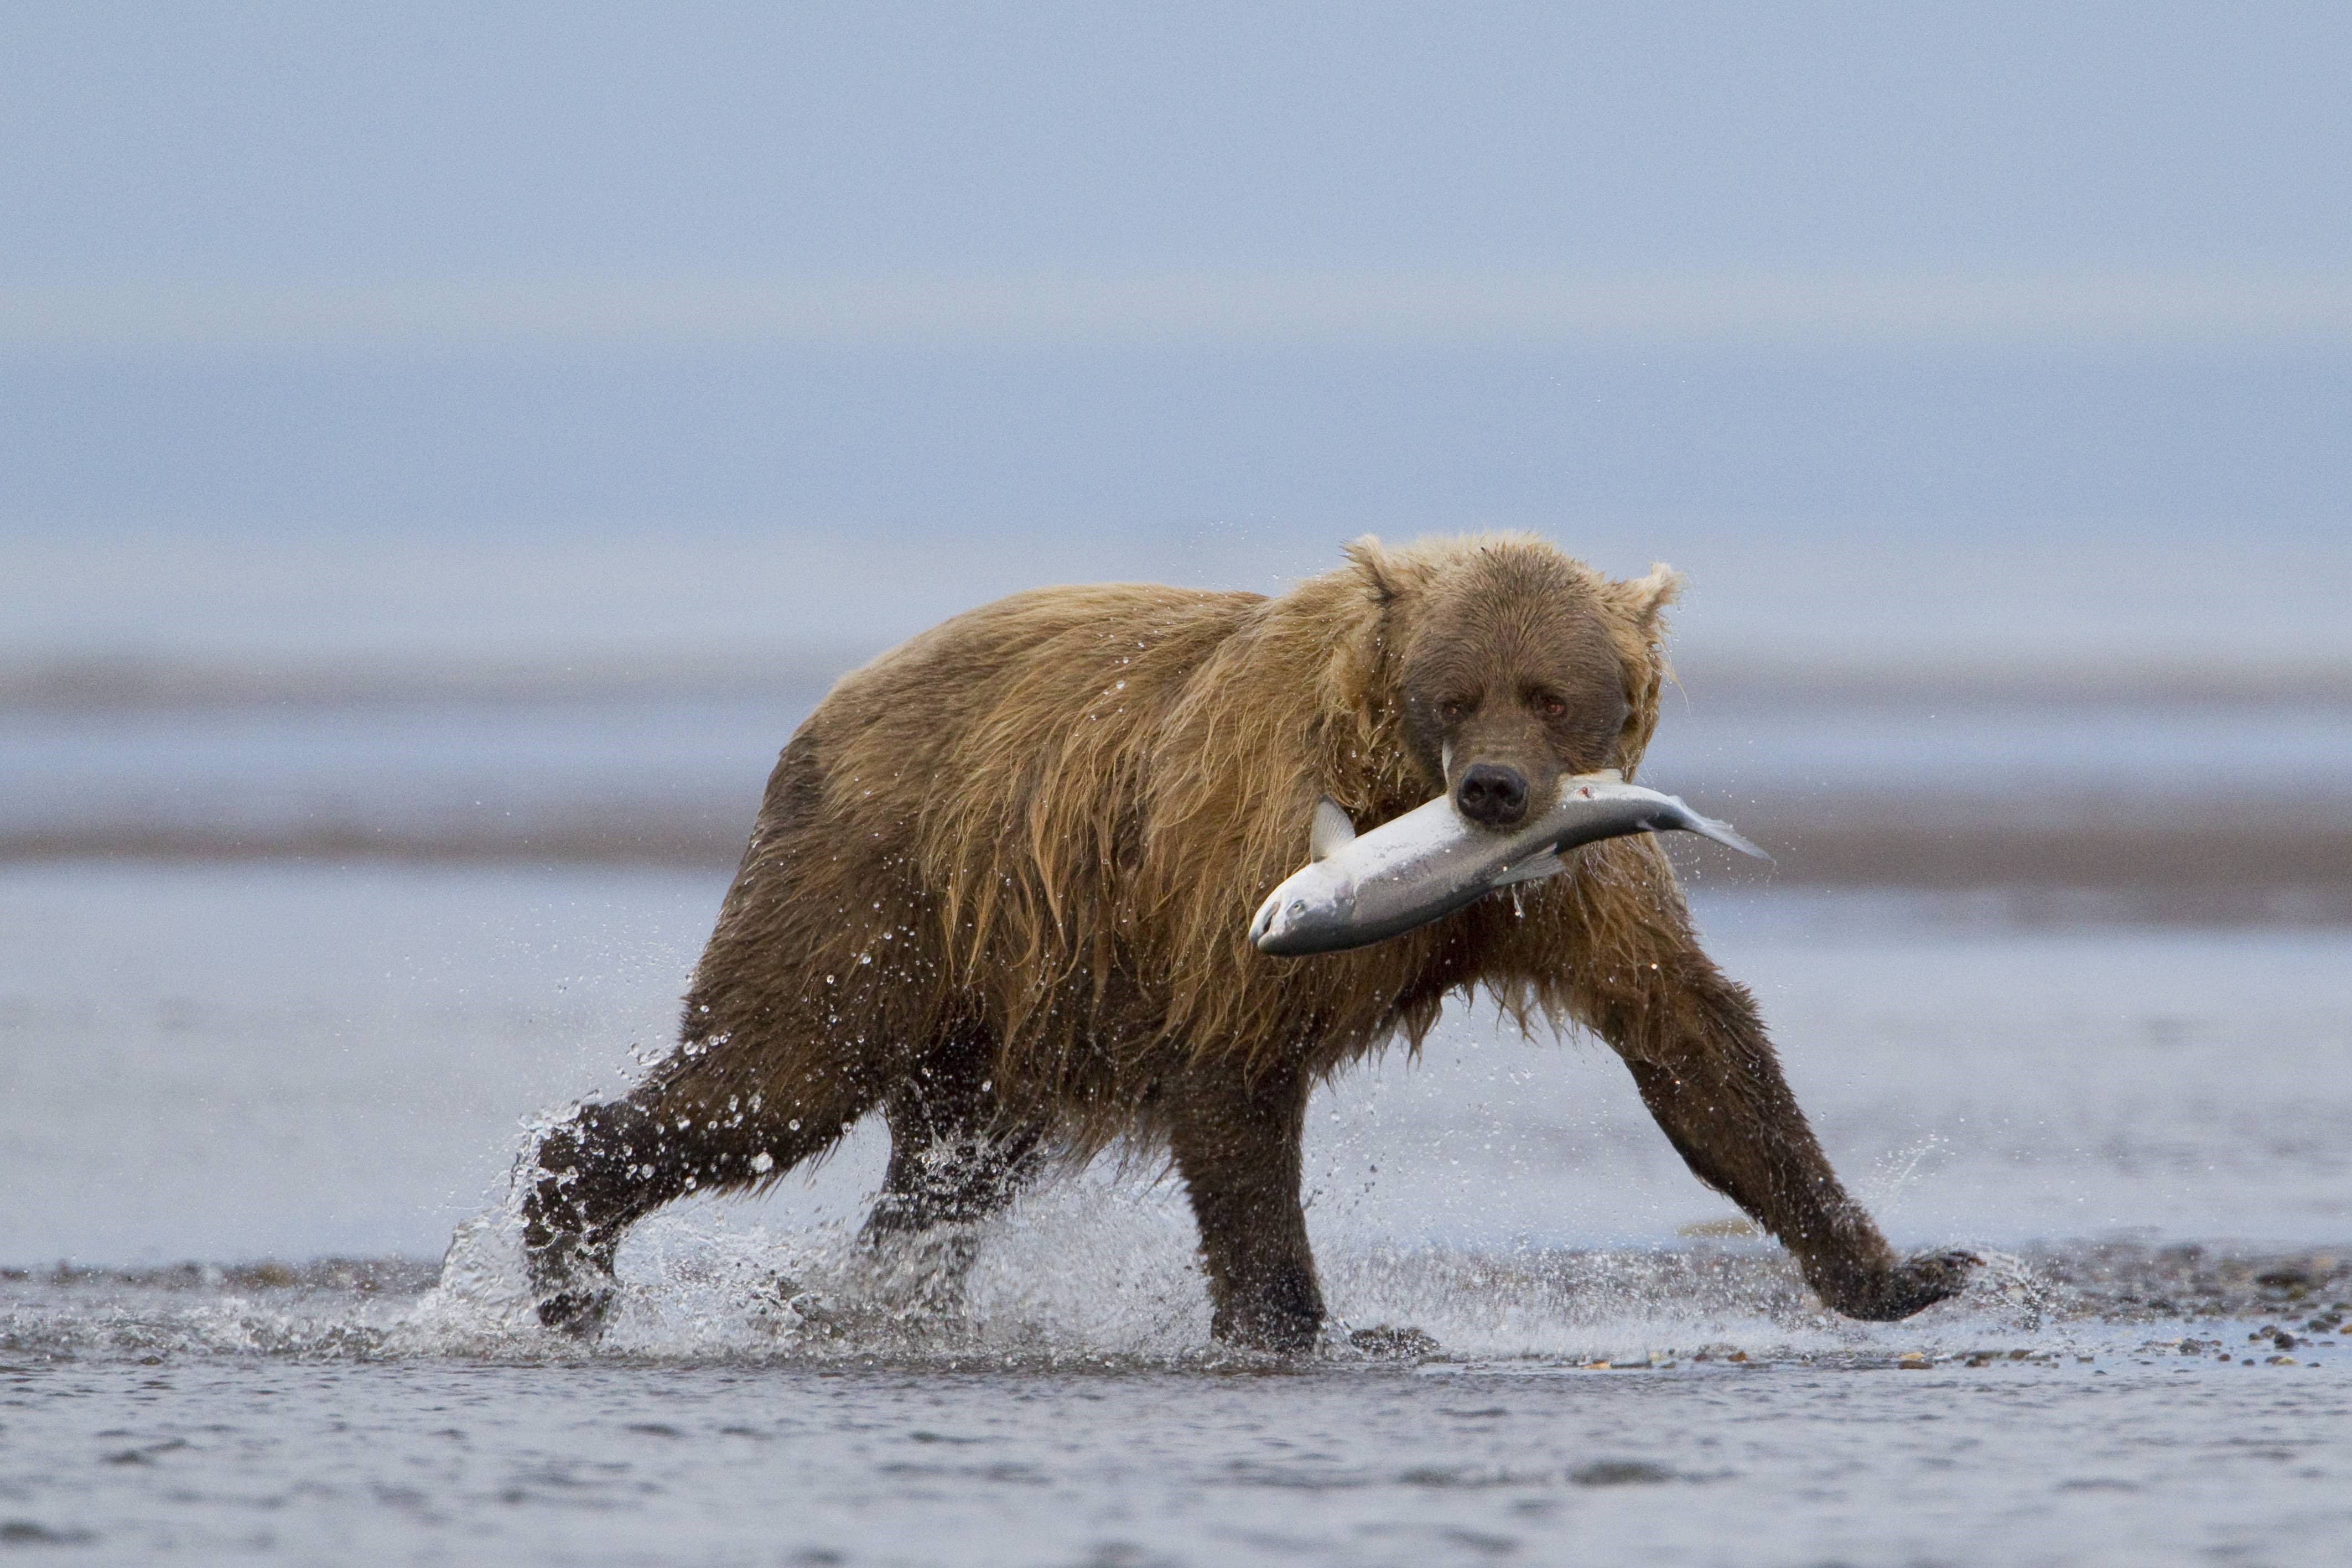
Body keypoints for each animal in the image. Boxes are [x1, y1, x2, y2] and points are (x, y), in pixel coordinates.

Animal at [524, 533, 1975, 1344]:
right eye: (1455, 689)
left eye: (1556, 692)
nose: (1494, 791)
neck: (1396, 787)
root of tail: (835, 698)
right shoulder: (1242, 853)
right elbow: (1235, 1083)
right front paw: (1299, 1323)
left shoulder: (1577, 884)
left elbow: (1694, 1042)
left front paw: (1903, 1268)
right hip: (877, 892)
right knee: (770, 1074)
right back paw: (569, 1263)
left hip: (1006, 991)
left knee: (951, 1164)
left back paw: (866, 1298)